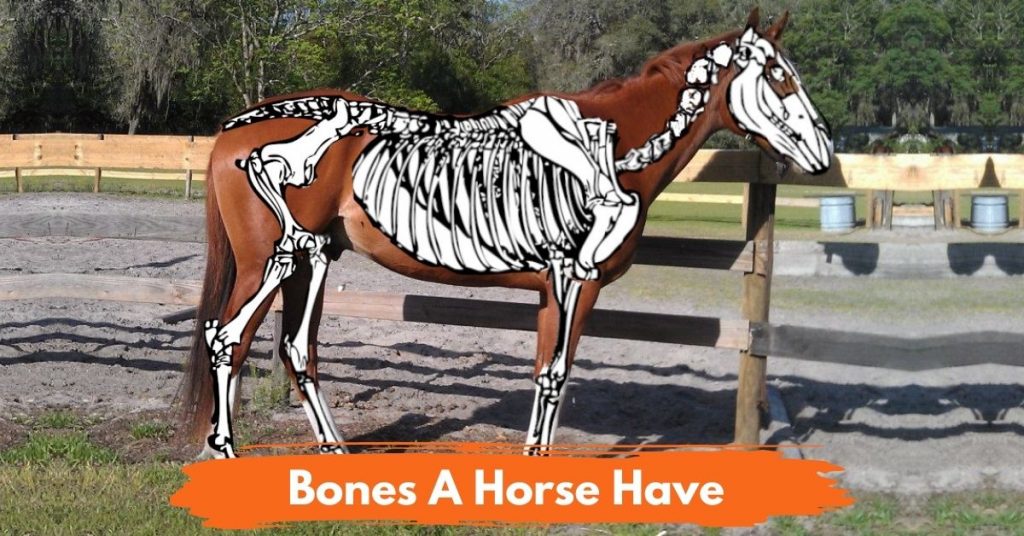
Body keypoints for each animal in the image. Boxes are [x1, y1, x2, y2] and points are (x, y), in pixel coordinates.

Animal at [178, 8, 833, 459]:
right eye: (778, 76)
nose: (824, 155)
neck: (612, 149)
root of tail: (235, 128)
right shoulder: (576, 281)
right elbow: (557, 373)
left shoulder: (552, 289)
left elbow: (545, 369)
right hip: (273, 260)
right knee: (225, 337)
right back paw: (227, 452)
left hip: (314, 259)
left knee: (294, 348)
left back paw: (332, 450)